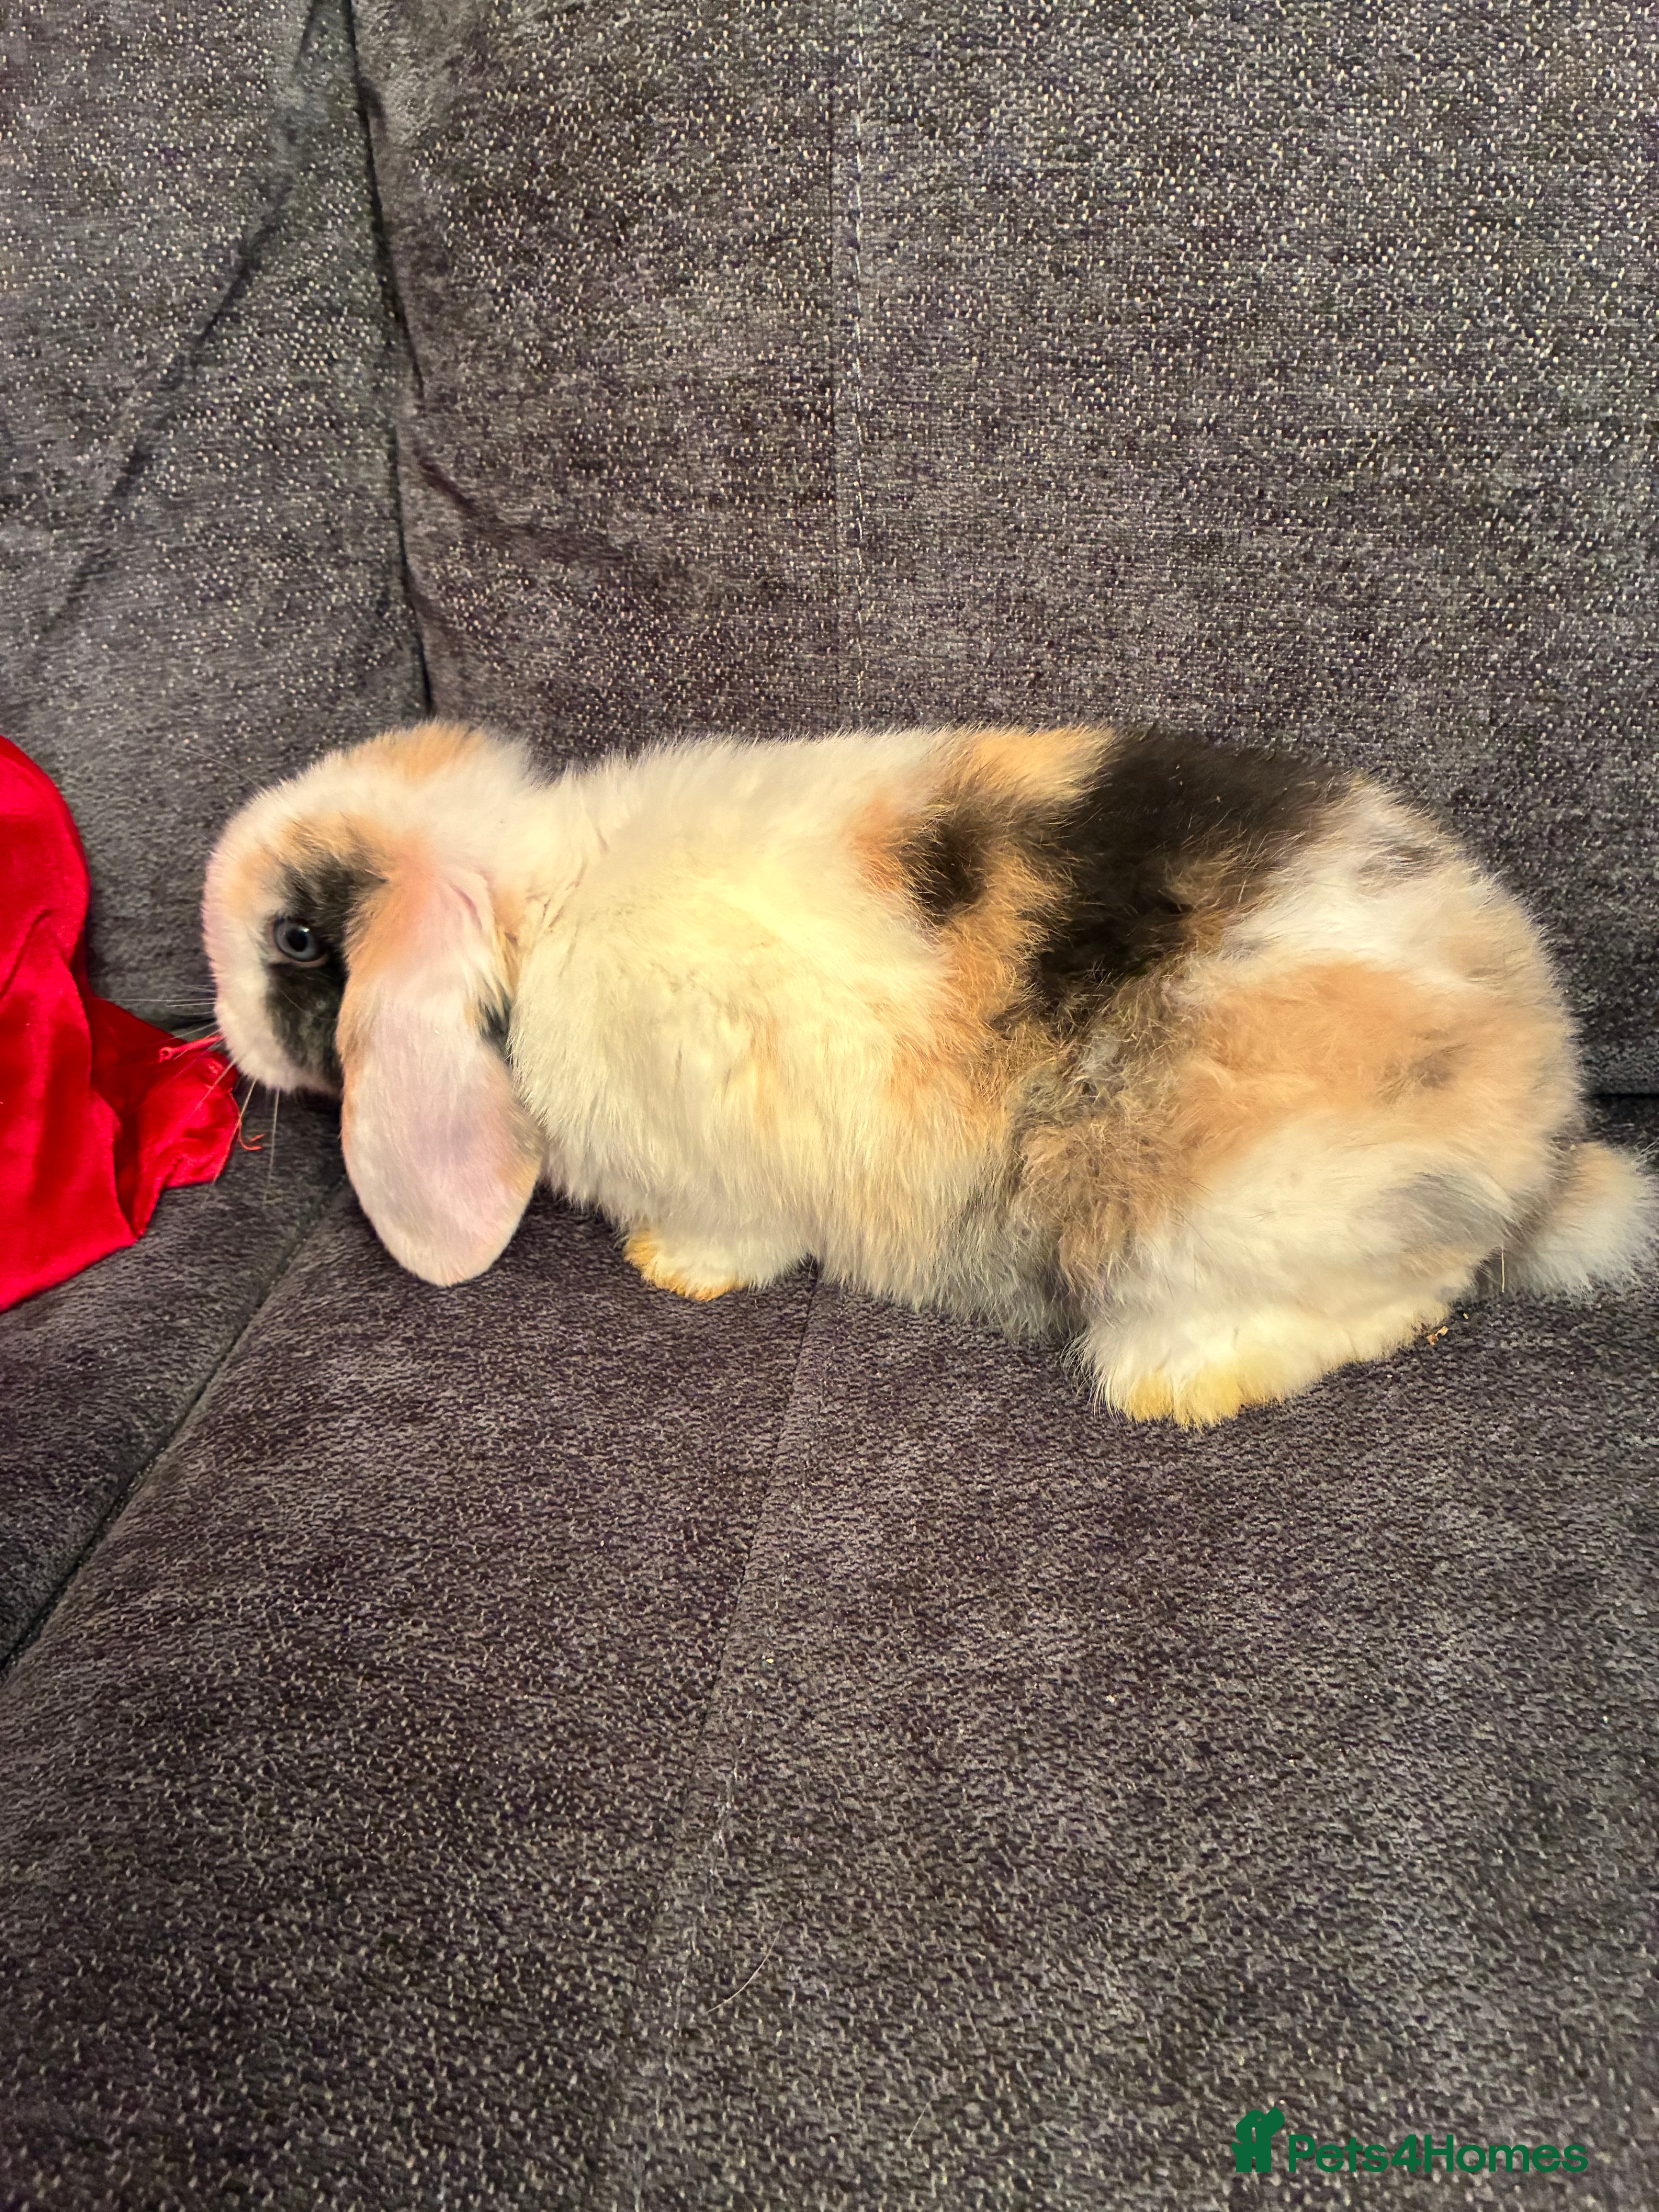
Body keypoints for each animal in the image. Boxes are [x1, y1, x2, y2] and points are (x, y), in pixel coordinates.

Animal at [202, 718, 1654, 1425]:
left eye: (296, 940)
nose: (215, 1029)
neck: (534, 911)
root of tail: (1536, 1138)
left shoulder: (724, 1162)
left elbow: (734, 1234)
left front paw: (671, 1272)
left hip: (1215, 1219)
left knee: (1391, 1304)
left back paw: (1175, 1388)